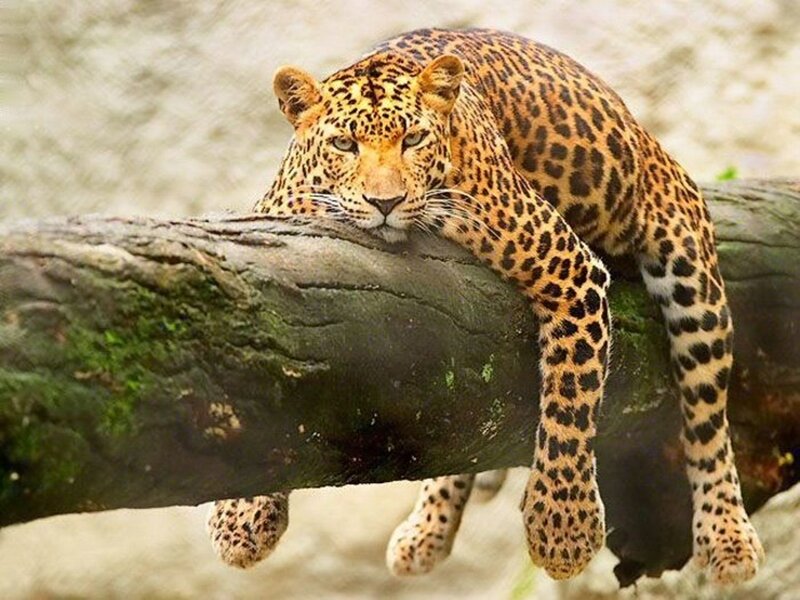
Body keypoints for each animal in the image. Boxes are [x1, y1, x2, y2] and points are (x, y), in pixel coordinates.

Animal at [206, 28, 764, 584]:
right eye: (344, 143)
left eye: (413, 140)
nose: (384, 203)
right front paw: (243, 515)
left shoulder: (571, 270)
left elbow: (570, 404)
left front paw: (564, 528)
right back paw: (426, 531)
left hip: (692, 280)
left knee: (708, 421)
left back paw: (729, 538)